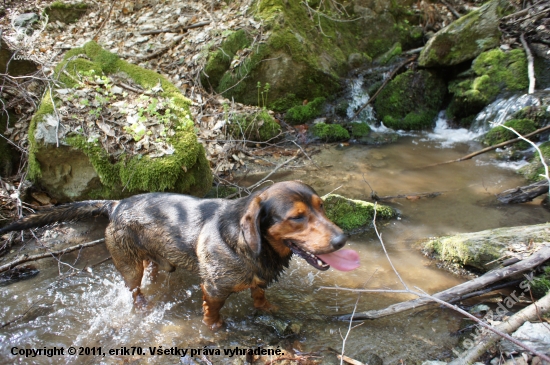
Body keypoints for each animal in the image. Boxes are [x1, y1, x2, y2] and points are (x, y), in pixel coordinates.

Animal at [0, 181, 362, 328]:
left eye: (322, 207)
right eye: (297, 217)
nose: (343, 239)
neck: (247, 245)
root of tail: (116, 204)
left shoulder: (258, 282)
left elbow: (260, 296)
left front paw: (268, 308)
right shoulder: (213, 289)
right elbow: (213, 314)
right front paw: (215, 330)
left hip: (159, 262)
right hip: (129, 265)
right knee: (134, 290)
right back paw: (143, 306)